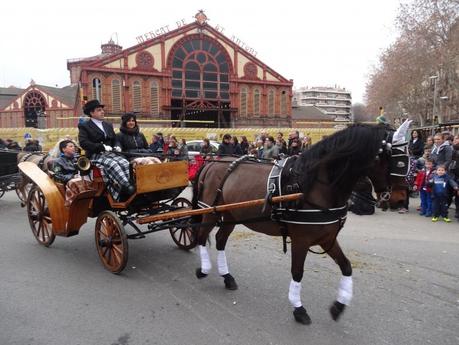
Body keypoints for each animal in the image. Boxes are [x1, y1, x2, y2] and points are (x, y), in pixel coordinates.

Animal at [192, 124, 408, 326]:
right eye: (398, 160)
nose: (399, 198)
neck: (314, 186)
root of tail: (212, 163)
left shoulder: (327, 238)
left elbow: (346, 266)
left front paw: (339, 305)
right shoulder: (301, 240)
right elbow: (297, 272)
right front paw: (298, 308)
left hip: (231, 215)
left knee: (220, 240)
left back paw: (227, 276)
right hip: (209, 212)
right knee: (202, 238)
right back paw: (204, 269)